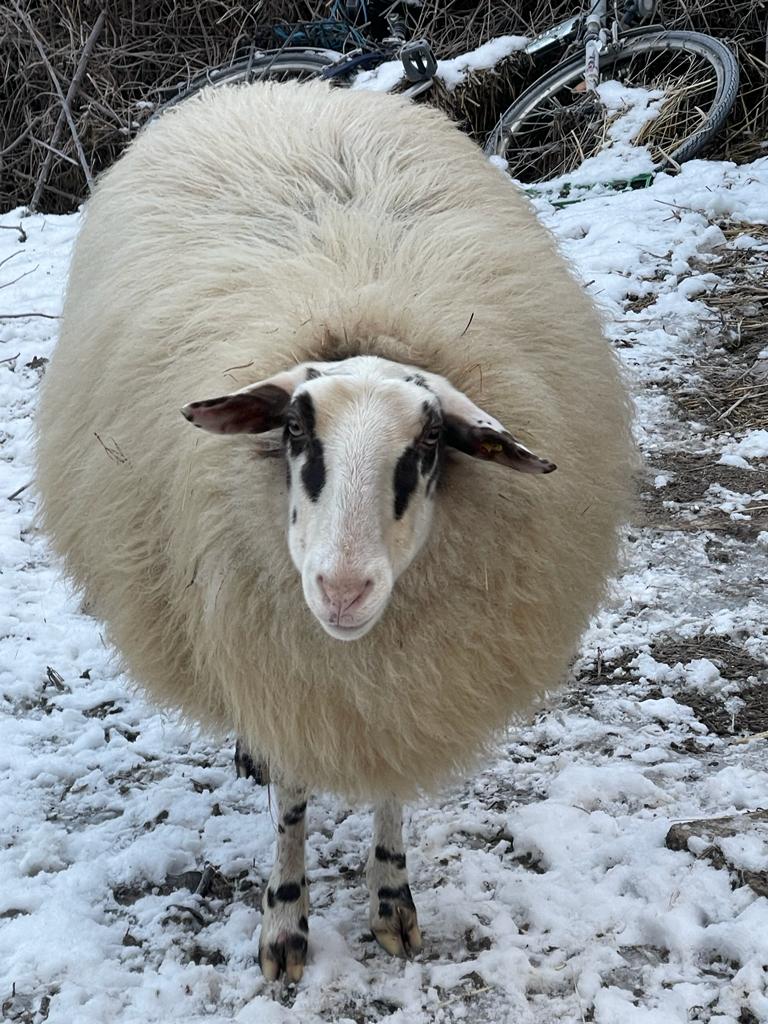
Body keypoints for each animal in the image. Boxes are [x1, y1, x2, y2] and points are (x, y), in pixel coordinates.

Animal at [36, 79, 634, 974]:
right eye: (293, 428)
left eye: (428, 445)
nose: (344, 589)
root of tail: (277, 86)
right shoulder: (281, 658)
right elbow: (290, 802)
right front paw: (285, 922)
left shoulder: (396, 682)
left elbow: (388, 791)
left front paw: (391, 900)